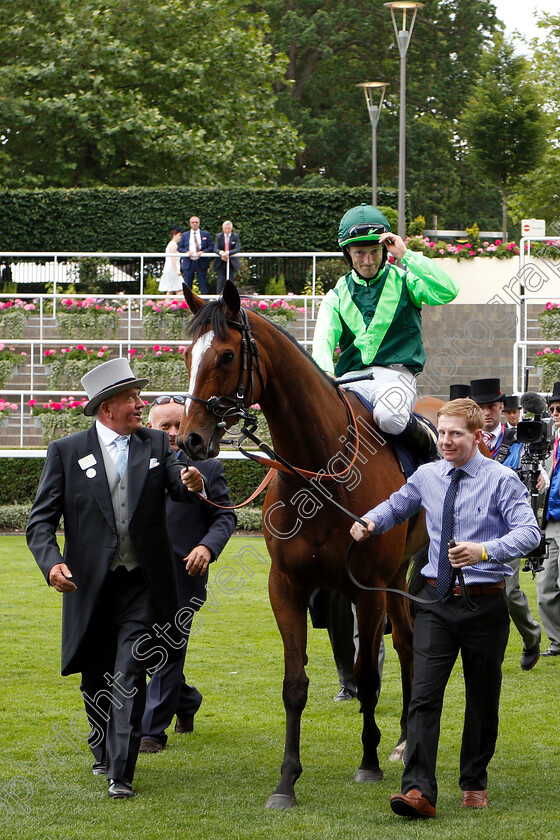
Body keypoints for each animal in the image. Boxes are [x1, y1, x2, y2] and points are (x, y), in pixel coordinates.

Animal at [177, 282, 440, 808]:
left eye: (227, 355)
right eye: (189, 354)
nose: (190, 440)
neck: (320, 470)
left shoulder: (366, 589)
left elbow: (366, 676)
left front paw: (368, 762)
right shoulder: (287, 586)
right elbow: (294, 684)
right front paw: (286, 781)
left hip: (397, 574)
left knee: (403, 645)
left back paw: (402, 744)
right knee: (403, 641)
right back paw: (404, 738)